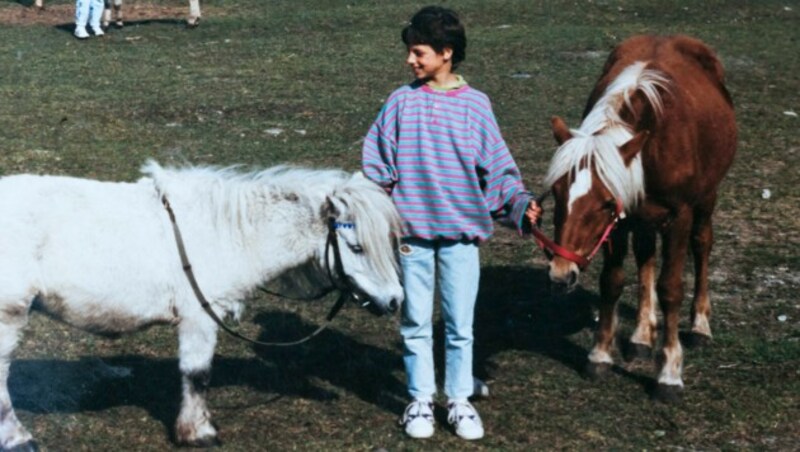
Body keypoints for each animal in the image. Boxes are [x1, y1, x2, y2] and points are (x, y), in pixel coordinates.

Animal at [0, 161, 404, 450]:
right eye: (357, 248)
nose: (395, 300)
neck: (226, 233)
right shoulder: (200, 317)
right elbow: (197, 374)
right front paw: (198, 432)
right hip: (9, 314)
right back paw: (19, 438)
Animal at [544, 36, 736, 402]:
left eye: (604, 202)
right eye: (557, 192)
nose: (561, 274)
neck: (653, 145)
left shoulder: (678, 215)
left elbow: (671, 287)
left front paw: (669, 373)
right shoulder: (621, 219)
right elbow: (613, 281)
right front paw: (600, 355)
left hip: (706, 199)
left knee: (702, 245)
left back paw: (700, 326)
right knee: (646, 257)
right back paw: (641, 336)